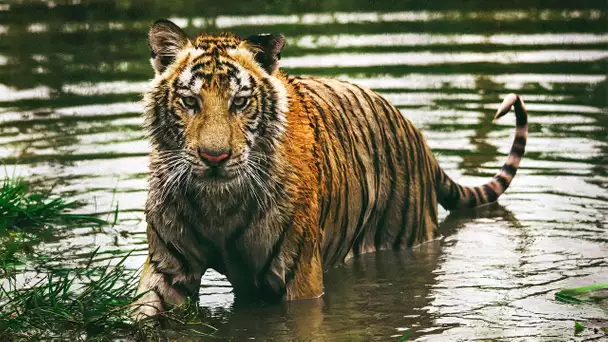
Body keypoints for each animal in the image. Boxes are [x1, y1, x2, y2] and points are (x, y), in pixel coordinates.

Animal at [133, 18, 528, 318]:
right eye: (190, 101)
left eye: (240, 102)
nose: (214, 157)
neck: (219, 206)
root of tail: (419, 137)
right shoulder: (167, 268)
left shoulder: (298, 277)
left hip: (406, 237)